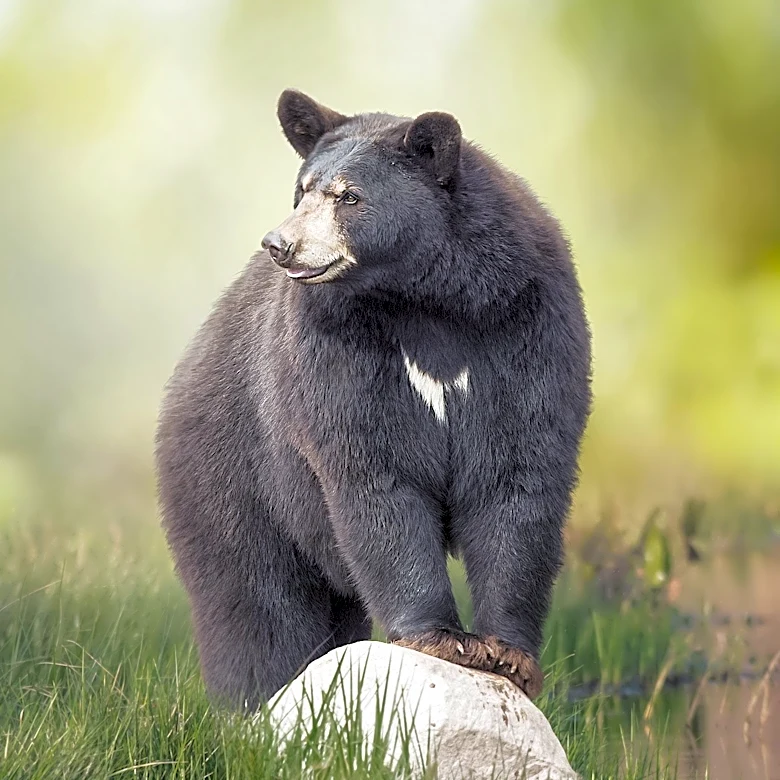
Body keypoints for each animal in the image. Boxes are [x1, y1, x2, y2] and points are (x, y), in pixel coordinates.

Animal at [155, 89, 592, 711]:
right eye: (302, 189)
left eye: (349, 196)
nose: (280, 244)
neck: (427, 298)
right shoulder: (339, 349)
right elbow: (375, 475)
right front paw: (440, 639)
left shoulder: (524, 326)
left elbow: (517, 476)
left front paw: (508, 654)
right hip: (234, 473)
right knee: (256, 602)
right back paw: (257, 698)